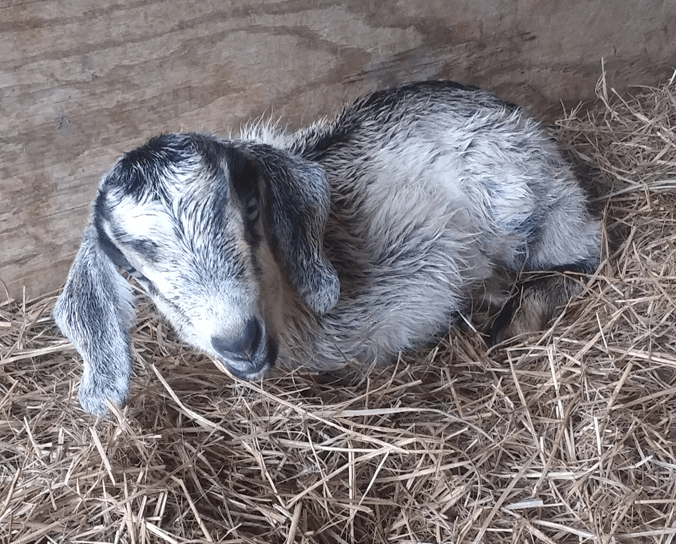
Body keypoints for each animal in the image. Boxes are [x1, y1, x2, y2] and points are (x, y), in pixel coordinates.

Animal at [54, 81, 601, 415]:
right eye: (135, 274)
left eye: (250, 208)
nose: (239, 342)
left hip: (524, 205)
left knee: (588, 249)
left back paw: (513, 317)